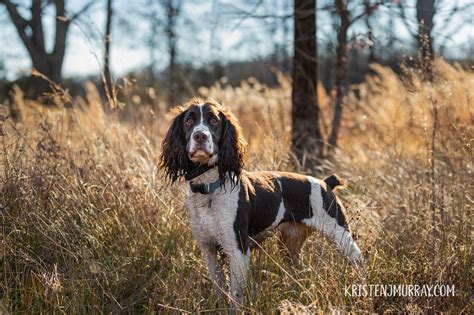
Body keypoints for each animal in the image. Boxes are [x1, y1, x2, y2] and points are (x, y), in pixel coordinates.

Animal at [159, 98, 362, 308]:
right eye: (189, 121)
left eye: (214, 121)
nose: (200, 136)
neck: (209, 190)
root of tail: (325, 182)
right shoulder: (209, 250)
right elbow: (220, 290)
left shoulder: (238, 250)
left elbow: (235, 298)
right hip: (290, 244)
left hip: (340, 235)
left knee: (358, 260)